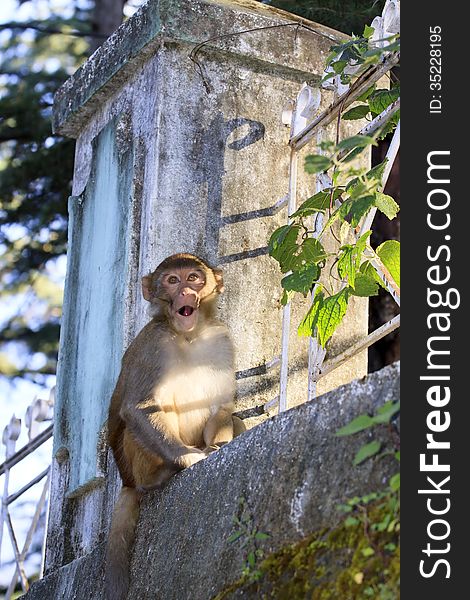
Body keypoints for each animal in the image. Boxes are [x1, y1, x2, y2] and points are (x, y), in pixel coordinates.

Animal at [105, 254, 244, 600]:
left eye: (193, 277)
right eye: (171, 281)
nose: (185, 293)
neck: (189, 334)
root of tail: (126, 481)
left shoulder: (222, 339)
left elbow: (224, 408)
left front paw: (217, 447)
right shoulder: (151, 344)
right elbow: (138, 408)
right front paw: (190, 458)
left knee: (234, 418)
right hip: (135, 466)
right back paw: (158, 477)